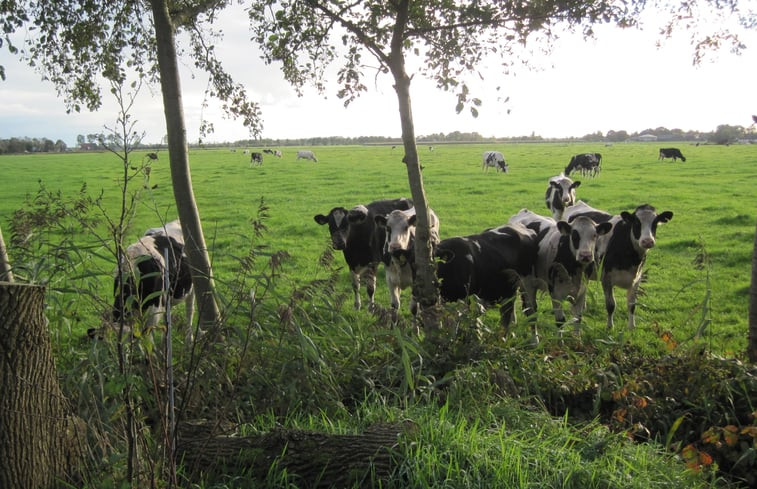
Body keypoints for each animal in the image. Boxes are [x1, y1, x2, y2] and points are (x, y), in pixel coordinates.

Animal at [564, 200, 672, 330]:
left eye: (655, 222)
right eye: (636, 222)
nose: (647, 241)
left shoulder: (636, 279)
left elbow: (632, 305)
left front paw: (631, 327)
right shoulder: (606, 279)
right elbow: (611, 305)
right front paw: (610, 327)